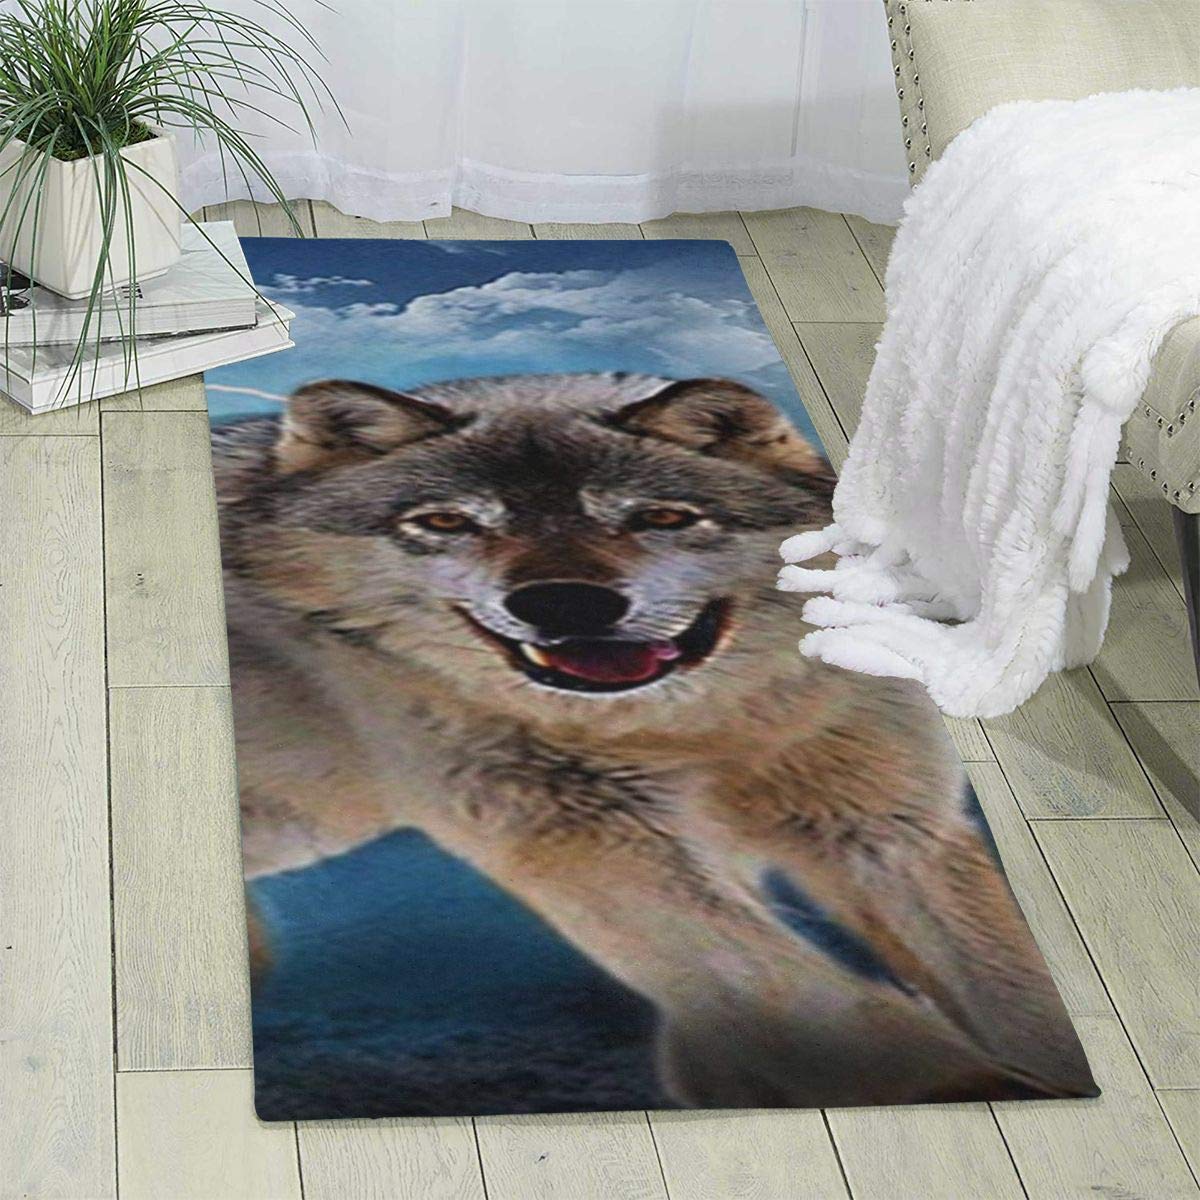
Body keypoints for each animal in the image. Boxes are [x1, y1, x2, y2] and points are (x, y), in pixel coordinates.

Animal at [214, 371, 1094, 1109]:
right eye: (445, 523)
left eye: (659, 517)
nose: (564, 601)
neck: (693, 732)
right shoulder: (589, 841)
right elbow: (816, 997)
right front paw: (983, 1091)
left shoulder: (886, 833)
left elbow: (1016, 991)